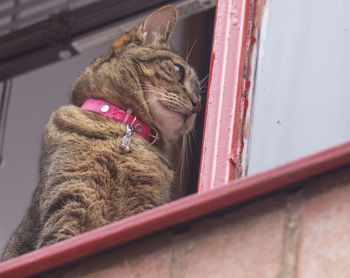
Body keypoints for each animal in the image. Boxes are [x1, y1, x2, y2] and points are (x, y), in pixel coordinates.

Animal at [2, 4, 200, 260]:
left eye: (200, 94)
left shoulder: (146, 205)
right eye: (177, 70)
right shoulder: (70, 196)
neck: (123, 129)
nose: (197, 105)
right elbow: (60, 240)